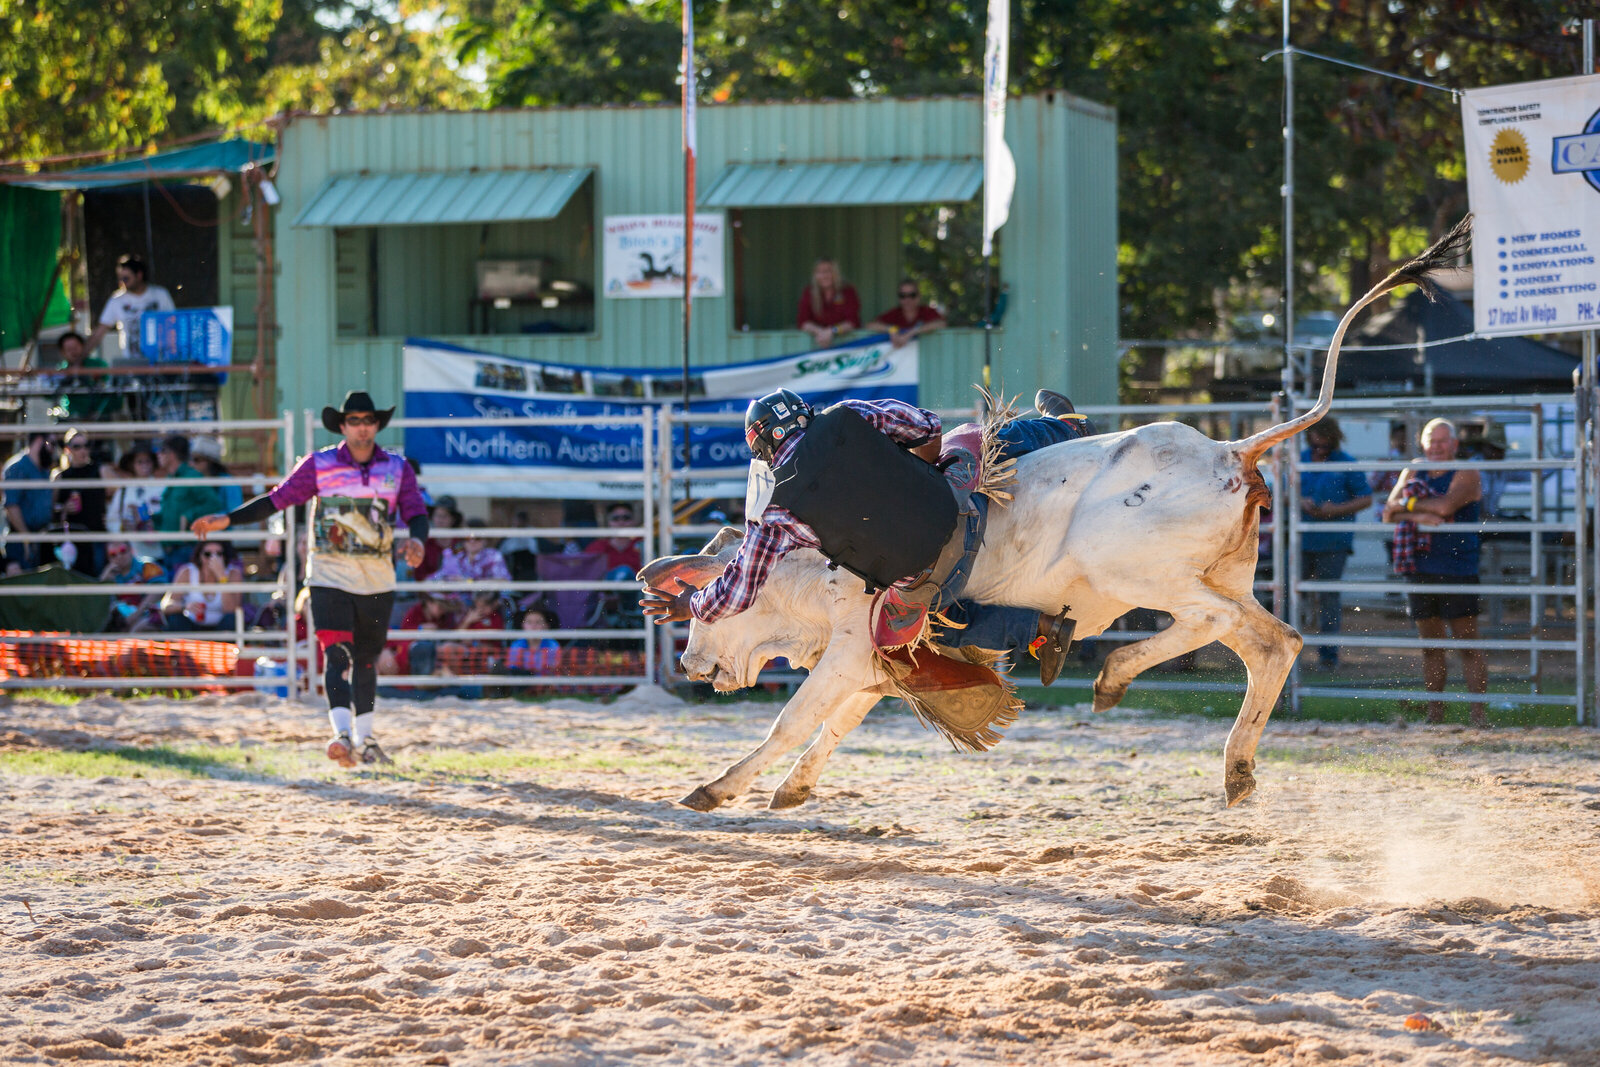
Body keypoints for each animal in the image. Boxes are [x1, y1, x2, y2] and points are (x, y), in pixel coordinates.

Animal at [643, 220, 1465, 812]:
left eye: (702, 613)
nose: (687, 666)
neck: (807, 571)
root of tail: (1232, 448)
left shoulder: (851, 646)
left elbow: (796, 718)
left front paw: (717, 787)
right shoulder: (880, 664)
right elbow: (835, 724)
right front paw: (794, 789)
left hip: (1137, 571)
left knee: (1209, 622)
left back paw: (1115, 672)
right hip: (1226, 575)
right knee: (1272, 643)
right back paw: (1234, 769)